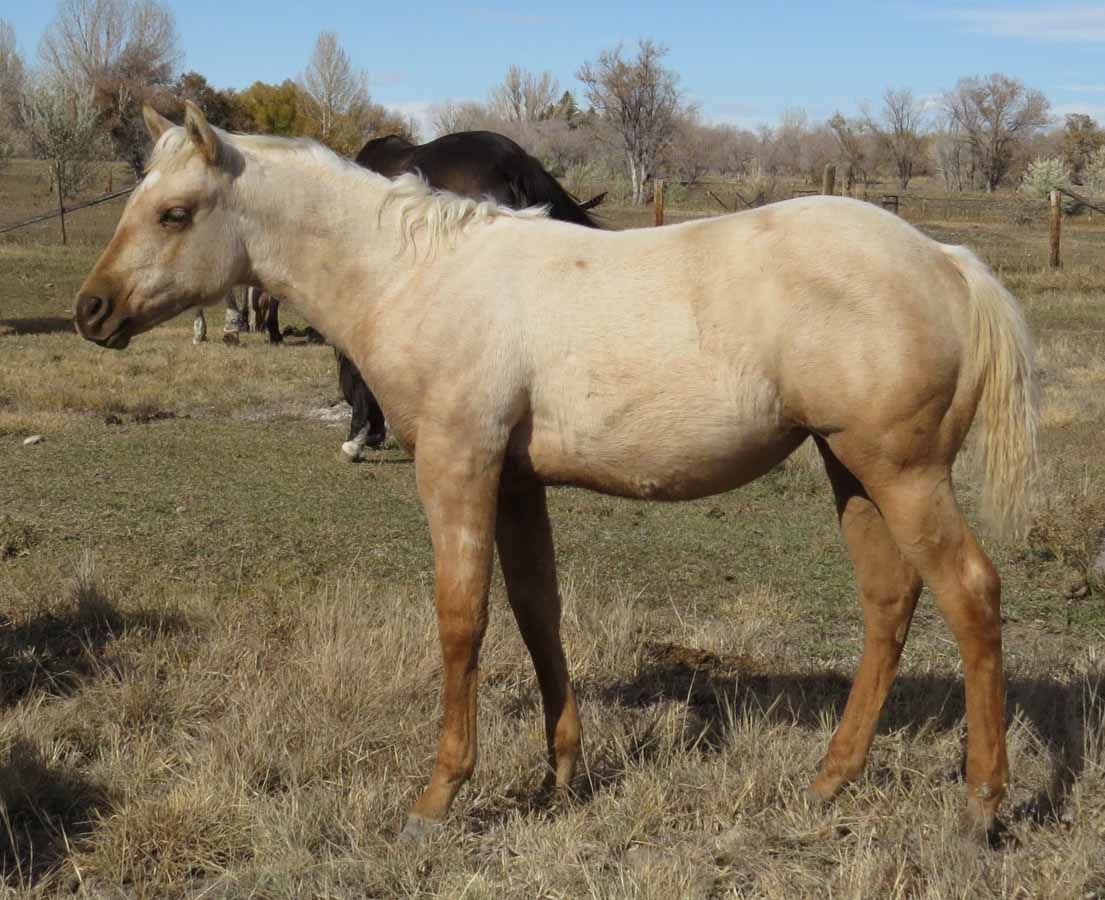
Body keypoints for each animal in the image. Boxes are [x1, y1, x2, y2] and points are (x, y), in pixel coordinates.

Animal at [75, 102, 1038, 842]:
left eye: (174, 213)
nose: (91, 310)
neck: (417, 274)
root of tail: (945, 260)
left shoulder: (457, 467)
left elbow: (461, 620)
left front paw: (438, 797)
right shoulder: (515, 483)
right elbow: (538, 613)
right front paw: (561, 774)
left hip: (903, 473)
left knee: (970, 594)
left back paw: (981, 806)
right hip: (853, 470)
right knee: (889, 601)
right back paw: (832, 777)